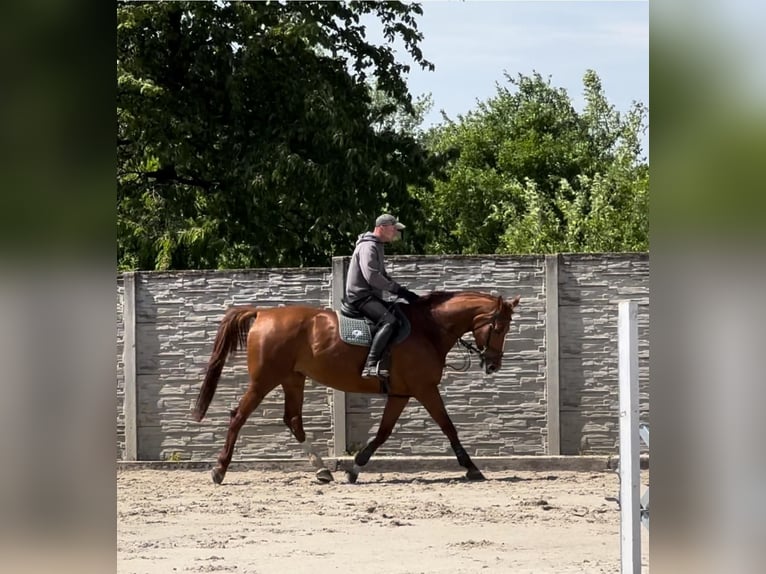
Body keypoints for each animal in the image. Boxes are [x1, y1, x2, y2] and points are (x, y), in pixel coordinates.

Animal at [194, 292, 520, 486]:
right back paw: (219, 470)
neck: (429, 329)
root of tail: (262, 313)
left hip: (292, 379)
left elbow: (384, 432)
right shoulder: (425, 389)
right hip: (264, 381)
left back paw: (322, 470)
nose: (494, 364)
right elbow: (448, 426)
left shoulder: (401, 394)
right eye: (500, 327)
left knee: (293, 420)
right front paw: (472, 468)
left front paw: (354, 468)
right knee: (238, 416)